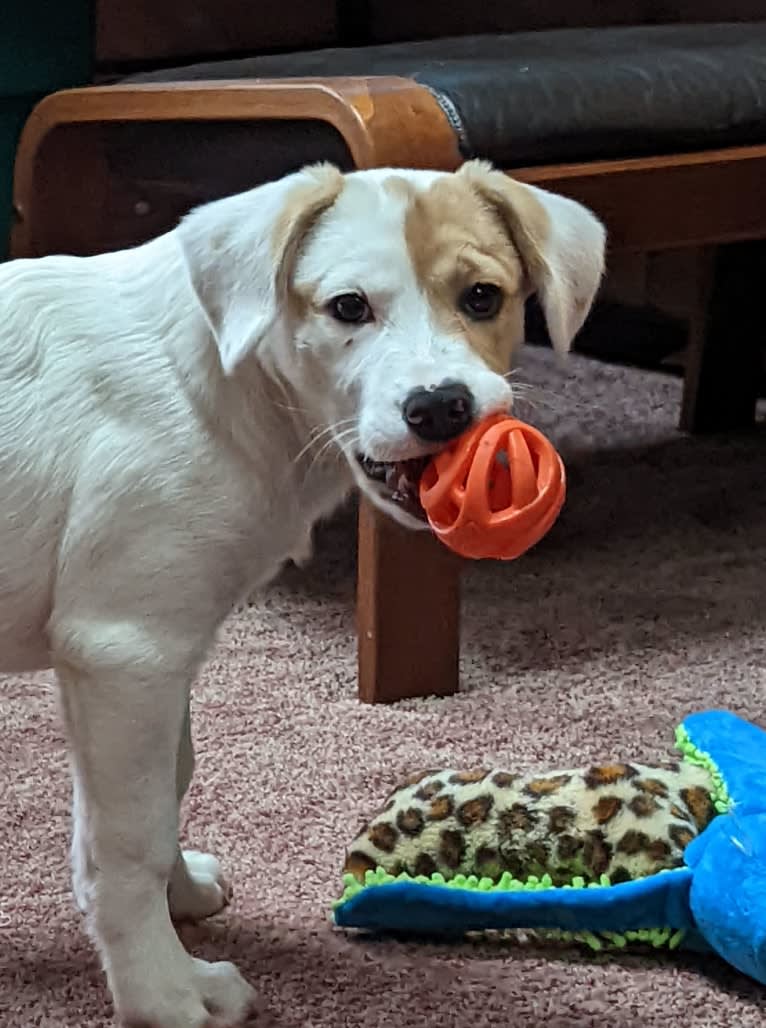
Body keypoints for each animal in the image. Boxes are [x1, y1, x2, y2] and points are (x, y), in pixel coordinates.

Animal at [0, 156, 604, 1023]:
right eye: (348, 307)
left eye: (483, 297)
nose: (440, 408)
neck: (218, 381)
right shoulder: (124, 650)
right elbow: (127, 843)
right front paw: (164, 990)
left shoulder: (156, 657)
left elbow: (167, 786)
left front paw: (181, 898)